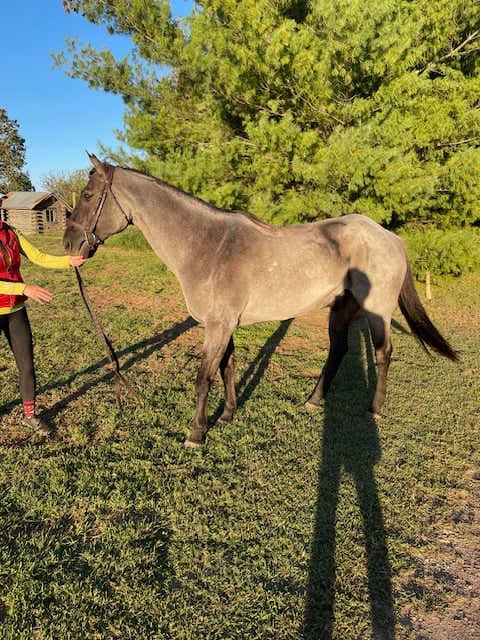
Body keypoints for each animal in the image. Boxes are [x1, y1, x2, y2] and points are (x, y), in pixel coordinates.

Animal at [63, 153, 458, 447]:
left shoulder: (218, 325)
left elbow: (204, 377)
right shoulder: (223, 325)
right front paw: (226, 415)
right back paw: (313, 401)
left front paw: (196, 434)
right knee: (338, 351)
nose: (69, 244)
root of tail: (390, 237)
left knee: (382, 353)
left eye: (87, 196)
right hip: (341, 308)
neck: (208, 246)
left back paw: (374, 409)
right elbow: (227, 368)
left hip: (376, 311)